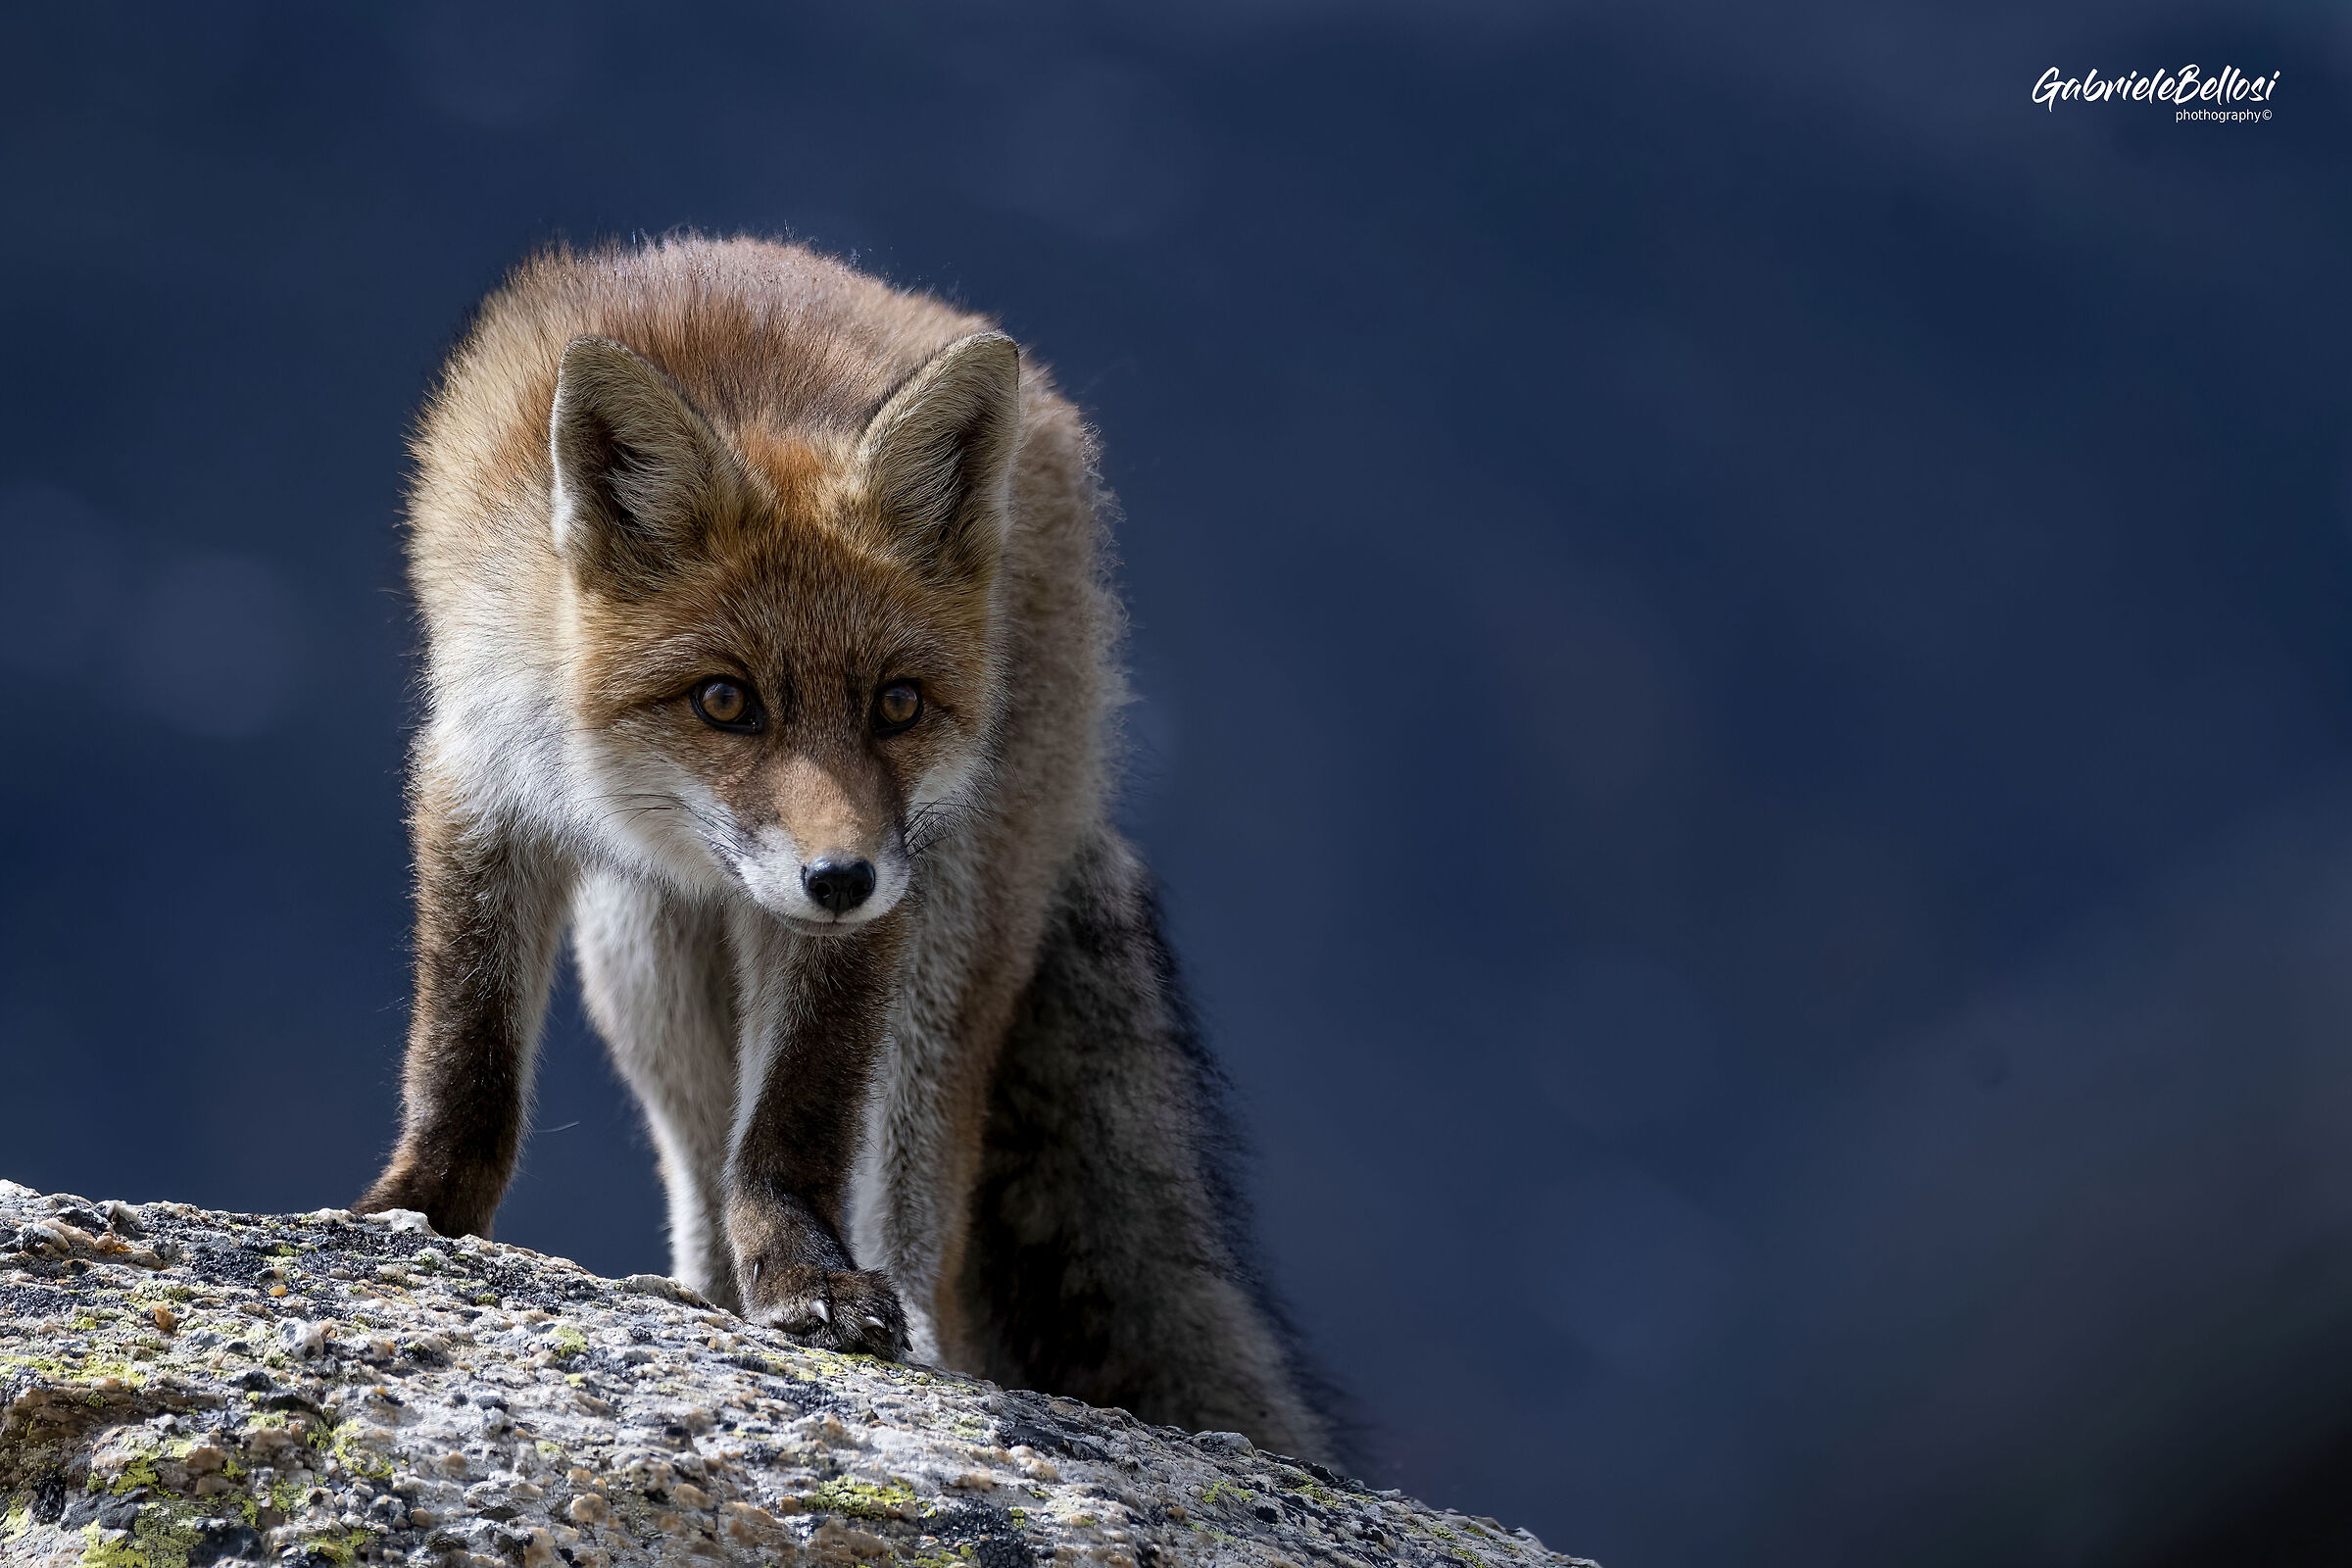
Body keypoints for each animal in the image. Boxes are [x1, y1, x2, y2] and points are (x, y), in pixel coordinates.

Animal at [352, 235, 1335, 1460]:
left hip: (946, 945)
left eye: (896, 705)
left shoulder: (877, 897)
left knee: (918, 1207)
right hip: (645, 959)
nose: (838, 878)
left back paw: (906, 1331)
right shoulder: (477, 777)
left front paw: (808, 1277)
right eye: (726, 701)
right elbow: (466, 1050)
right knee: (697, 1152)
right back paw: (700, 1294)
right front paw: (415, 1212)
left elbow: (797, 1118)